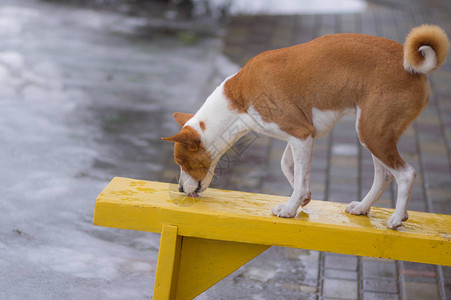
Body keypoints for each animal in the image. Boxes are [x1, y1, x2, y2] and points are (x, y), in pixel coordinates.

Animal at [162, 24, 448, 229]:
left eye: (181, 162)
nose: (180, 189)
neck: (237, 99)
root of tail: (414, 70)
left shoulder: (300, 134)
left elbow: (297, 179)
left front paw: (289, 210)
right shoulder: (299, 136)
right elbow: (290, 169)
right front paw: (304, 199)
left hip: (373, 133)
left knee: (406, 174)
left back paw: (397, 219)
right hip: (373, 134)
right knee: (384, 176)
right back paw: (363, 208)